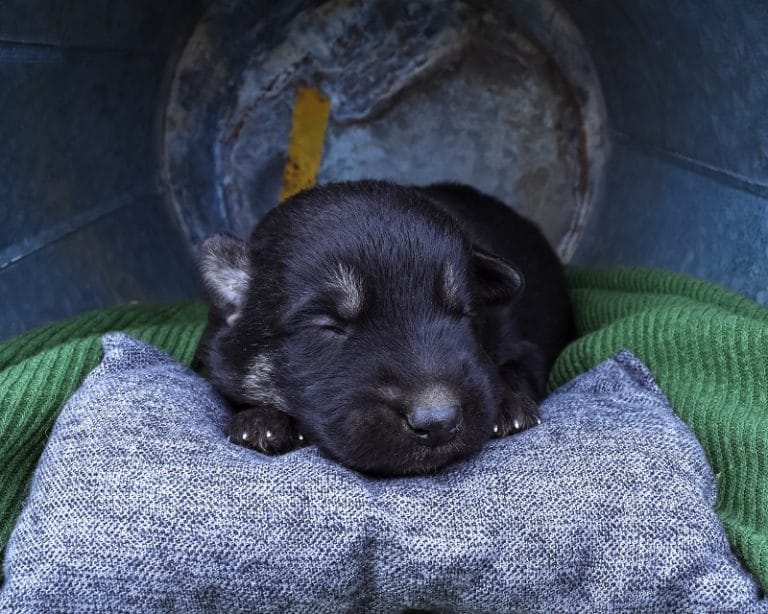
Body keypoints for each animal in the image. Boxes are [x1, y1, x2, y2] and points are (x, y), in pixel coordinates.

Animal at [195, 180, 572, 478]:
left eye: (463, 315)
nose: (438, 422)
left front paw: (509, 404)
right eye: (329, 327)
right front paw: (260, 421)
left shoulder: (524, 348)